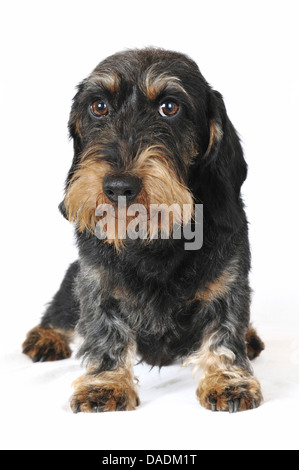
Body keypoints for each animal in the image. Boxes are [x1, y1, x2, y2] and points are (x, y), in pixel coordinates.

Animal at [22, 47, 264, 414]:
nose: (119, 187)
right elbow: (105, 333)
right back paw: (45, 336)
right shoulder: (96, 284)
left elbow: (224, 333)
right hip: (71, 280)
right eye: (99, 106)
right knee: (59, 312)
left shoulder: (229, 282)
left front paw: (228, 379)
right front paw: (104, 384)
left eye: (170, 107)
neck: (153, 241)